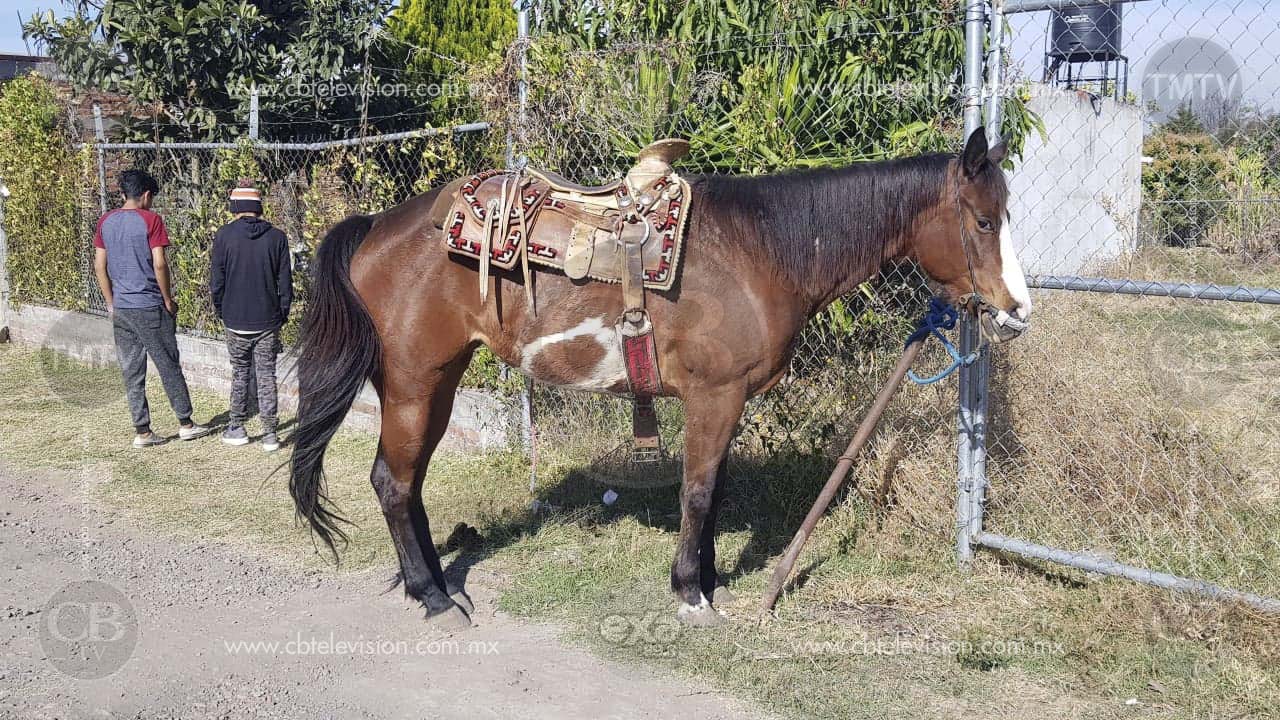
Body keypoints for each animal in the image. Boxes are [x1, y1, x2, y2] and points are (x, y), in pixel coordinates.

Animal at [288, 128, 1033, 629]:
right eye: (983, 219)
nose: (1018, 310)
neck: (760, 251)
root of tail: (377, 227)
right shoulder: (714, 395)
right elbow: (698, 493)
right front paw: (689, 594)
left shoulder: (727, 402)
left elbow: (716, 491)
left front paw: (710, 578)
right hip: (416, 383)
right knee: (393, 482)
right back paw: (435, 597)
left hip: (437, 383)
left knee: (405, 482)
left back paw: (434, 584)